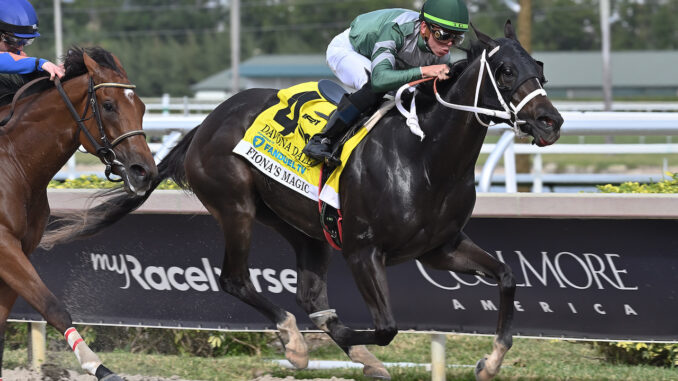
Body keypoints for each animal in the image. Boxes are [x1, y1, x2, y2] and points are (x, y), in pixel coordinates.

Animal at [0, 48, 158, 380]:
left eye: (141, 106)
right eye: (108, 105)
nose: (145, 173)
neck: (13, 162)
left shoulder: (20, 248)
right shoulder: (4, 245)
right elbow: (52, 306)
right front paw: (98, 366)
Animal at [41, 24, 564, 380]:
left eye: (539, 68)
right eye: (505, 71)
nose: (550, 122)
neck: (424, 157)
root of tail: (207, 122)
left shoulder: (441, 247)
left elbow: (507, 277)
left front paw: (490, 361)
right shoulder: (363, 251)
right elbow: (387, 326)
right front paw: (345, 339)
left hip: (300, 225)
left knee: (309, 293)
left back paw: (349, 352)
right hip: (236, 207)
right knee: (235, 279)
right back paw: (295, 342)